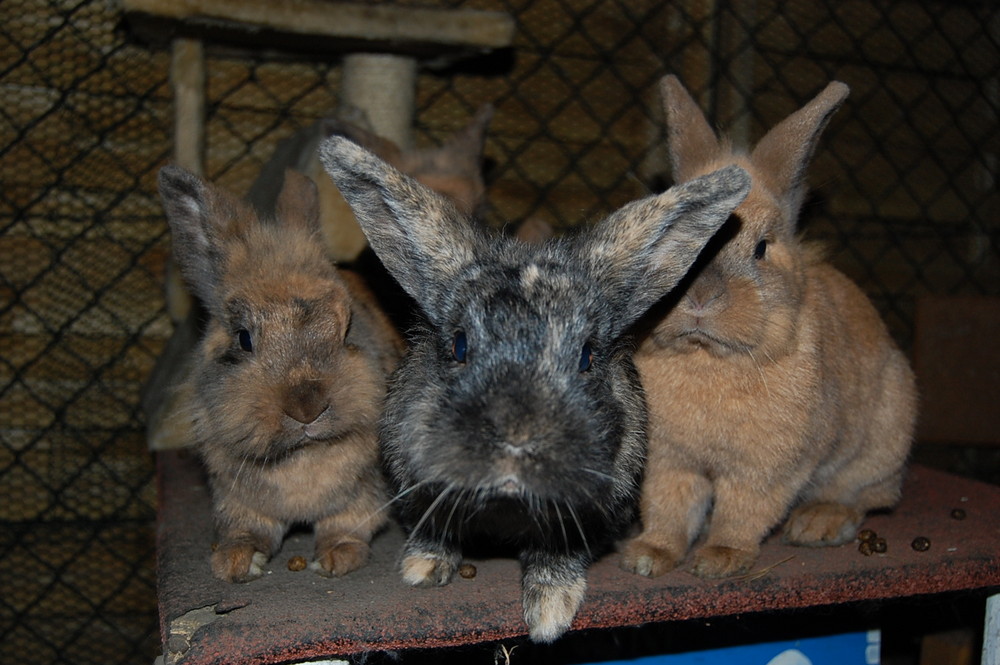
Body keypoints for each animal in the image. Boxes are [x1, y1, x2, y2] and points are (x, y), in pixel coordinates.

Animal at [158, 166, 404, 580]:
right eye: (244, 338)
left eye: (347, 327)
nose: (307, 408)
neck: (301, 453)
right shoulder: (237, 502)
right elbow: (246, 530)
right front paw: (234, 564)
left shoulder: (362, 497)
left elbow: (346, 526)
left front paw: (336, 559)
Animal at [318, 134, 752, 640]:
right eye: (459, 345)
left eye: (587, 356)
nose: (516, 441)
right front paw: (423, 568)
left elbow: (557, 549)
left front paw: (550, 611)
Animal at [620, 75, 916, 580]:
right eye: (676, 238)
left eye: (761, 247)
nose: (700, 299)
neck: (708, 358)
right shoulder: (670, 462)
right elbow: (669, 508)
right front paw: (648, 556)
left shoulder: (768, 469)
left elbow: (743, 511)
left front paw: (720, 559)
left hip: (880, 443)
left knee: (864, 496)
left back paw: (818, 523)